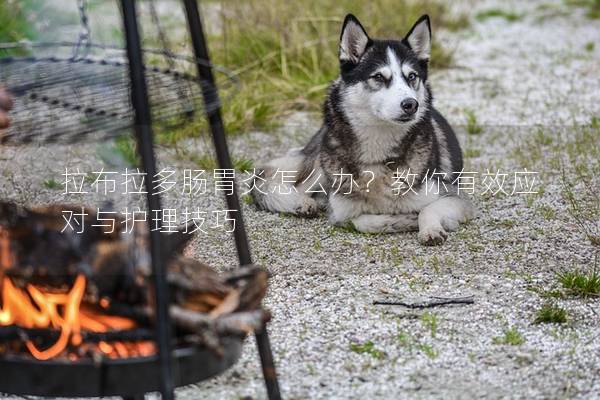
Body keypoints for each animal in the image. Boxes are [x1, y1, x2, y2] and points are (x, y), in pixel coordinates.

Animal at [253, 14, 474, 245]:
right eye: (378, 77)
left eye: (412, 77)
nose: (411, 104)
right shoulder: (340, 212)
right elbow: (360, 221)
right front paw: (402, 220)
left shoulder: (456, 198)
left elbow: (427, 210)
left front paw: (429, 229)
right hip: (320, 167)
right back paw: (300, 201)